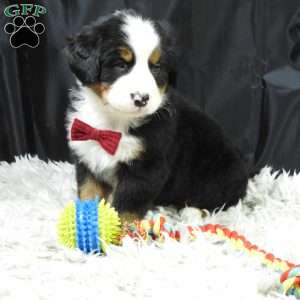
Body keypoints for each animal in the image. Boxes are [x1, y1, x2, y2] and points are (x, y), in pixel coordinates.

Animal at [65, 9, 248, 221]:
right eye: (120, 64)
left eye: (156, 67)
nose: (141, 98)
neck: (113, 121)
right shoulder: (86, 156)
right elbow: (88, 191)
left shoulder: (147, 167)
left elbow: (127, 205)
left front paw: (123, 228)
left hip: (219, 172)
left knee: (221, 201)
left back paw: (192, 212)